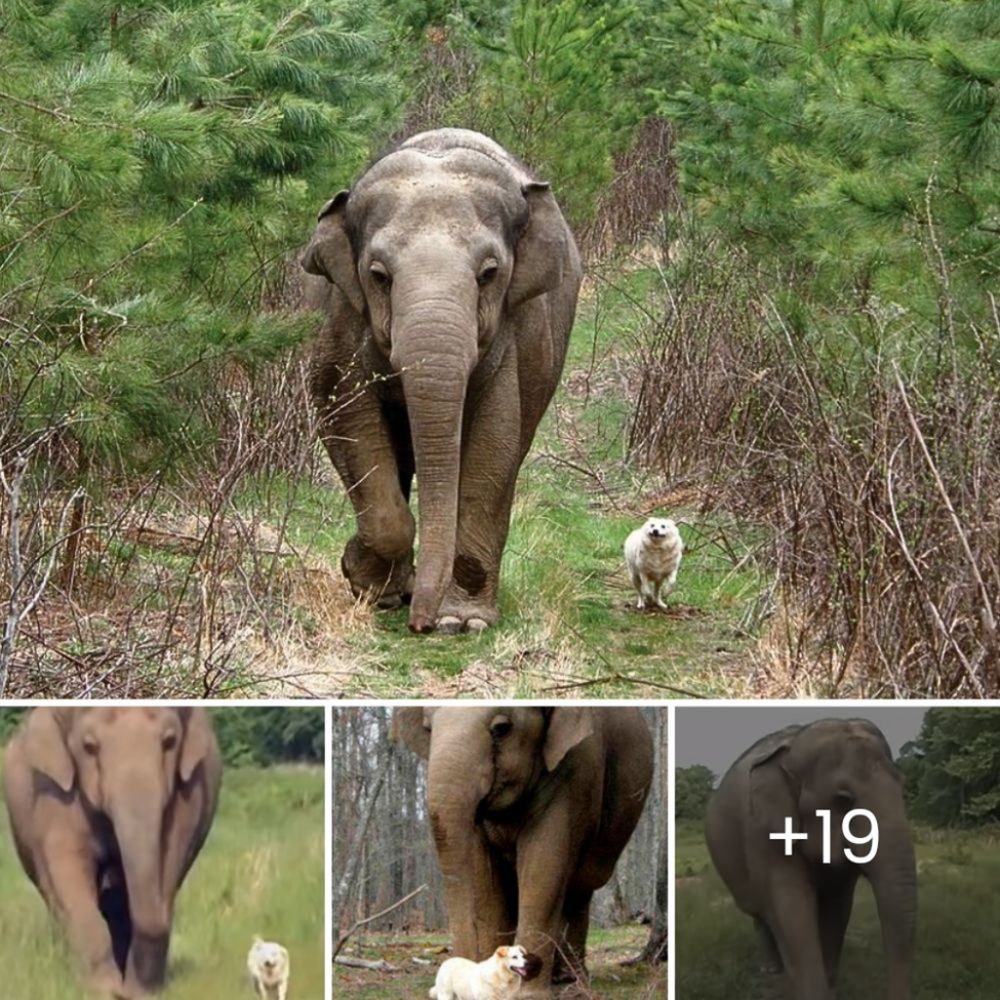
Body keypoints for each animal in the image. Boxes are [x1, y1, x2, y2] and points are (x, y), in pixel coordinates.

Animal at [1, 708, 221, 996]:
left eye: (170, 741)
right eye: (89, 747)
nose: (126, 992)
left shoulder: (189, 791)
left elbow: (168, 859)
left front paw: (139, 993)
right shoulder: (52, 790)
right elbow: (68, 869)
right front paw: (103, 990)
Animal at [300, 129, 584, 636]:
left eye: (489, 273)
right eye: (378, 275)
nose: (421, 625)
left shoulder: (514, 334)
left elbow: (494, 445)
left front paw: (463, 622)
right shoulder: (339, 318)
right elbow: (346, 414)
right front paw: (367, 584)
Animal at [390, 704, 656, 992]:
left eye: (501, 728)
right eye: (428, 729)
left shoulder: (577, 768)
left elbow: (543, 864)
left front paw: (528, 992)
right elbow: (484, 875)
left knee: (579, 889)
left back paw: (571, 982)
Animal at [704, 720, 916, 1000]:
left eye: (903, 786)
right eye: (842, 799)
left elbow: (836, 905)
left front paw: (830, 987)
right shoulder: (762, 830)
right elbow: (790, 904)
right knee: (759, 912)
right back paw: (770, 970)